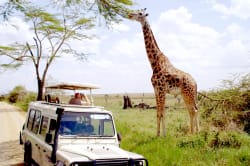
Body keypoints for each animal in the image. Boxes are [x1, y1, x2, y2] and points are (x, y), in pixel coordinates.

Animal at [129, 8, 199, 136]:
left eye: (140, 13)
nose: (130, 14)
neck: (154, 63)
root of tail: (195, 83)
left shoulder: (161, 89)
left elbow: (162, 113)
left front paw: (164, 135)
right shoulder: (156, 90)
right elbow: (158, 113)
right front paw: (157, 134)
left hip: (189, 94)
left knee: (194, 110)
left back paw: (195, 133)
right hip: (186, 95)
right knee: (192, 110)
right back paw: (192, 132)